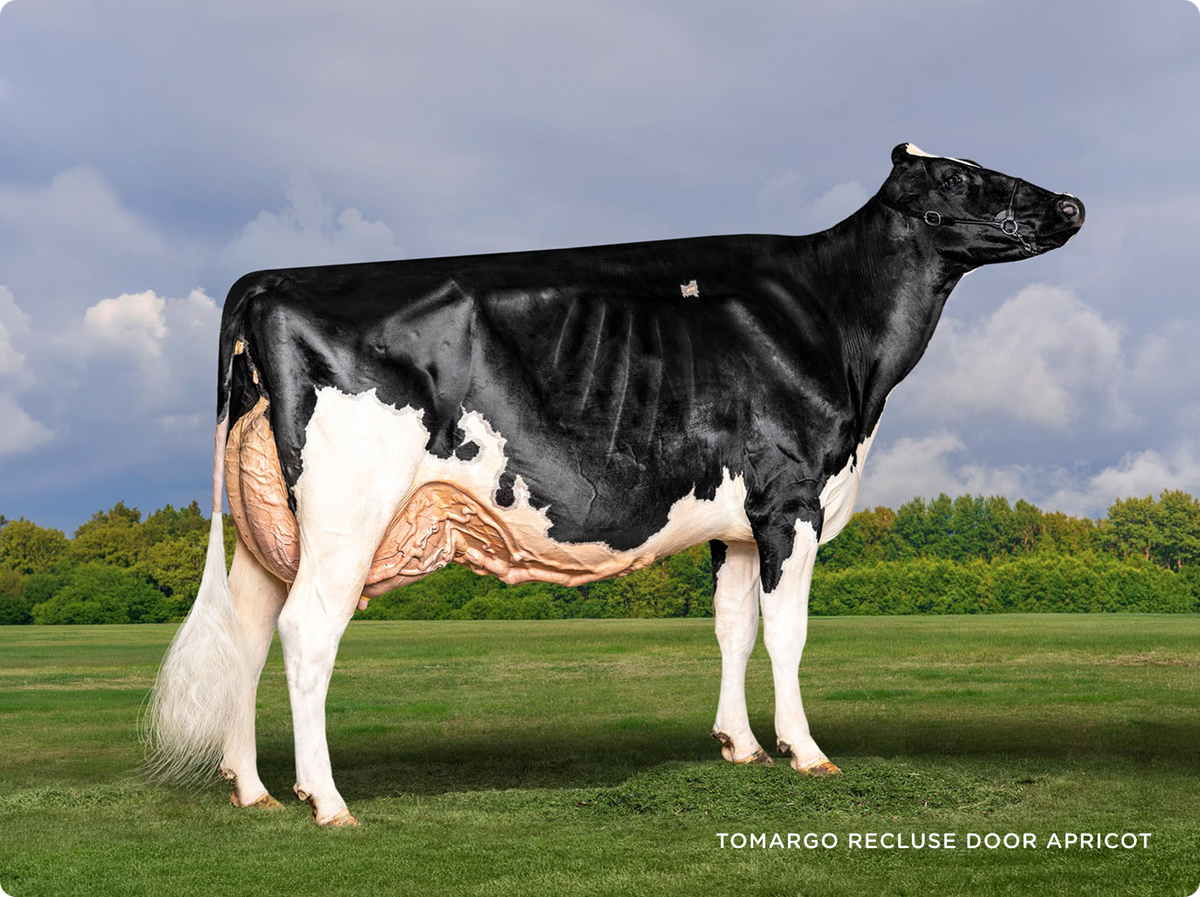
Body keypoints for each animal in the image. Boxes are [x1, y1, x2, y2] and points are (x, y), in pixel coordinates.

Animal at [147, 144, 1084, 825]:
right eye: (962, 177)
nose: (1072, 205)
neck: (836, 328)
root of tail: (272, 279)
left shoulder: (734, 522)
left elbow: (734, 627)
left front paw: (740, 745)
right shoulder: (789, 500)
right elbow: (787, 633)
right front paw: (806, 751)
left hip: (271, 526)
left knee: (247, 631)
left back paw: (254, 789)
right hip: (347, 511)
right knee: (306, 632)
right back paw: (327, 800)